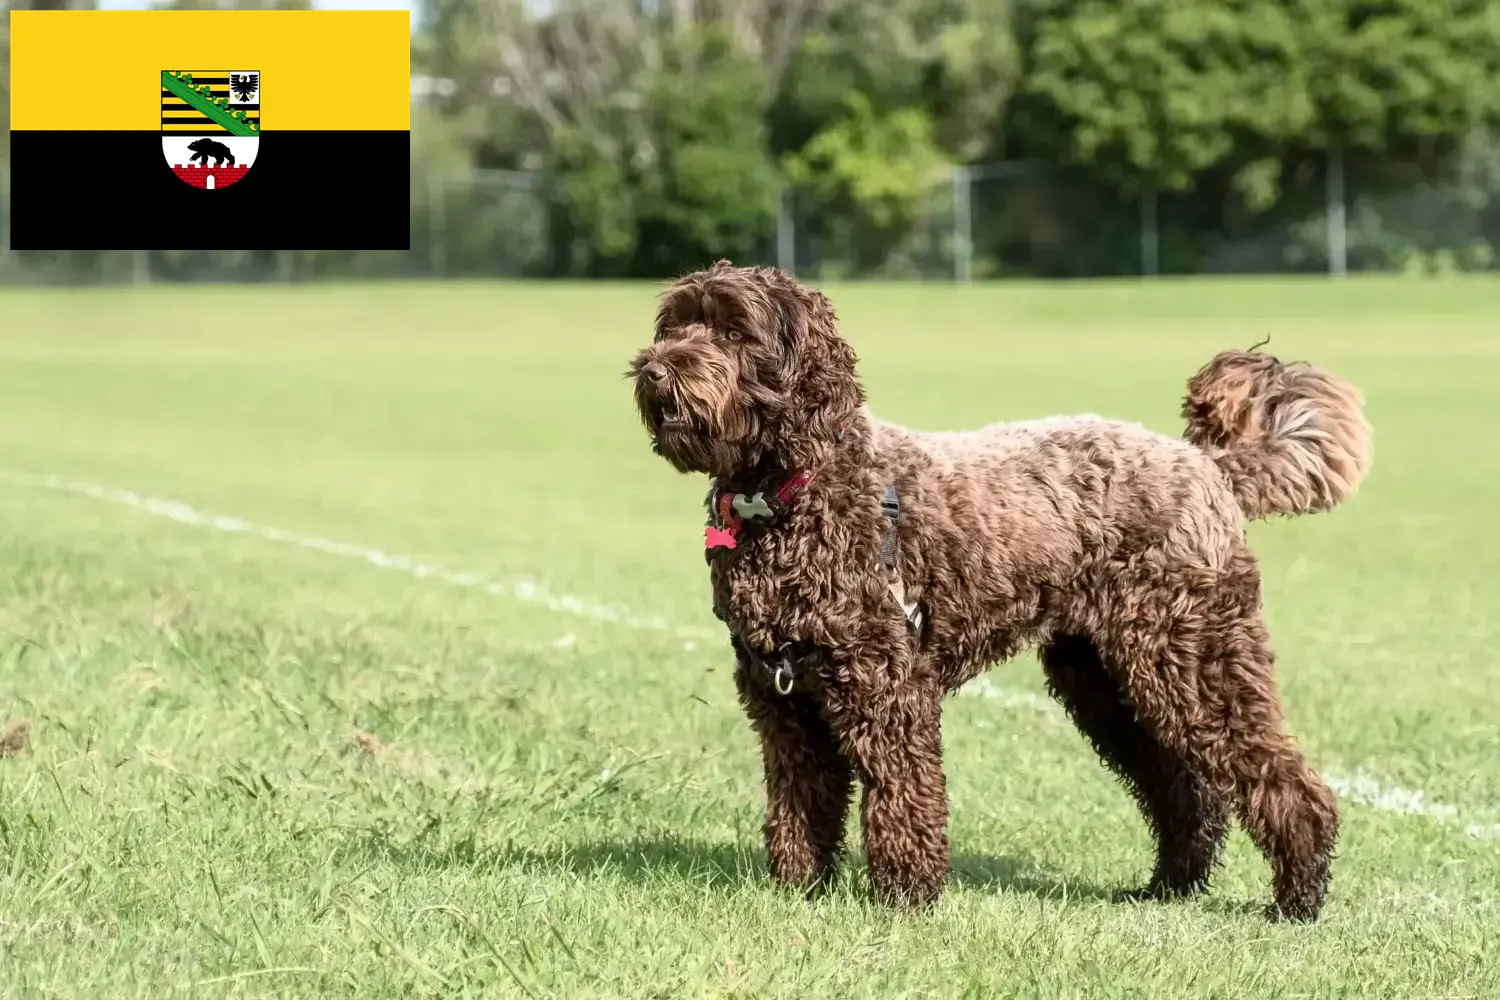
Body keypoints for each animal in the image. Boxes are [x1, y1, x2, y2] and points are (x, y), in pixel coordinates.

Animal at [627, 260, 1374, 923]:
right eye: (675, 324)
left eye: (734, 331)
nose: (654, 368)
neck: (794, 492)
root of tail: (1209, 466)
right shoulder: (781, 699)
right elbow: (800, 801)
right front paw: (799, 889)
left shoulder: (886, 687)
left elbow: (902, 793)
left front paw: (906, 897)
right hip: (1106, 680)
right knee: (1184, 792)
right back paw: (1168, 887)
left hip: (1195, 659)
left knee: (1281, 781)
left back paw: (1297, 899)